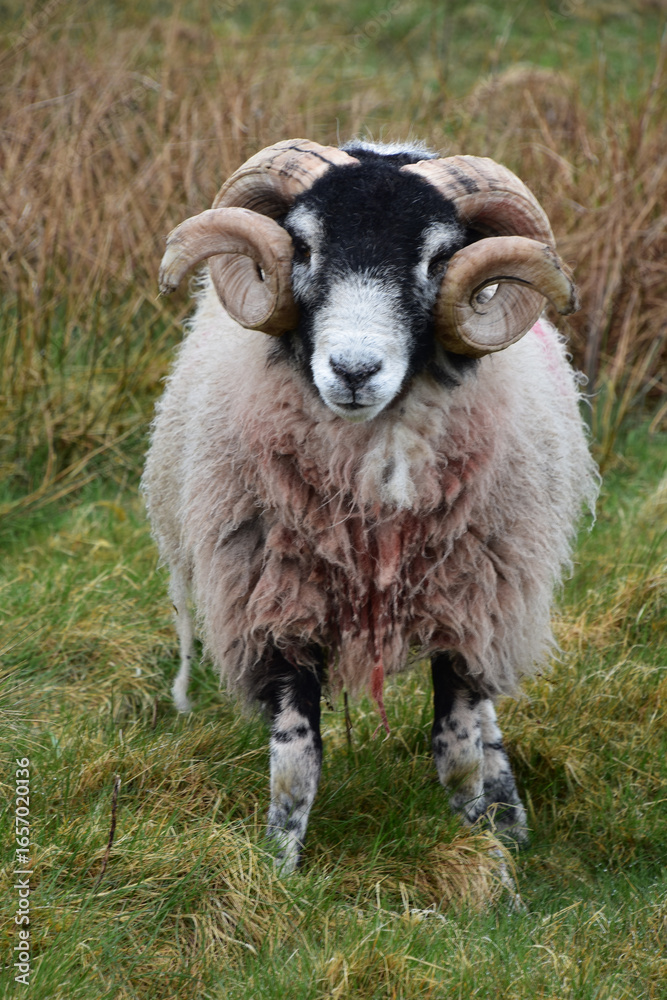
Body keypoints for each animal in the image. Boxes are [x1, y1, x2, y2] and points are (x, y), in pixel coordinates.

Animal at [142, 138, 598, 874]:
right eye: (302, 244)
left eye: (438, 258)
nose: (353, 371)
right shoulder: (277, 606)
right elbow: (295, 760)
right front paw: (279, 870)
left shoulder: (469, 606)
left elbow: (457, 749)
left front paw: (488, 861)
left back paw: (507, 819)